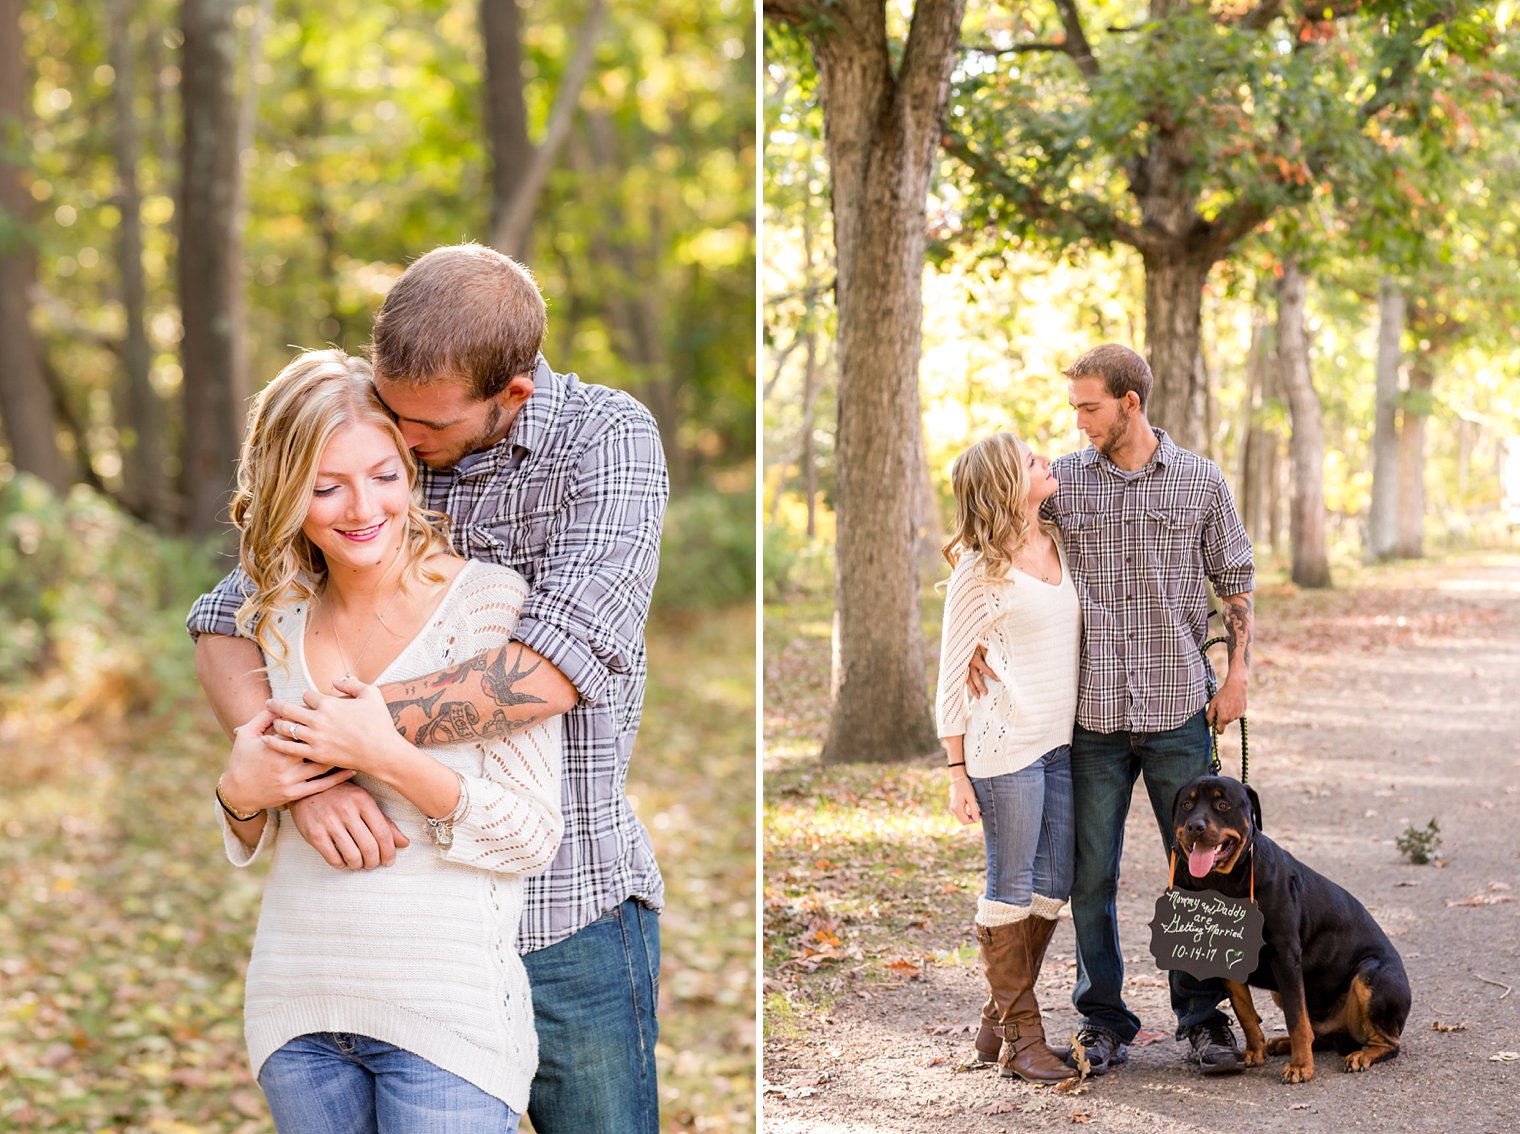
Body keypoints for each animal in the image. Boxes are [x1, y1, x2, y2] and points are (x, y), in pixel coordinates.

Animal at [1173, 772, 1410, 1082]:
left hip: (1370, 974)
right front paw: (1255, 1052)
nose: (1195, 826)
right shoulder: (1226, 957)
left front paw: (1300, 1067)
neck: (1227, 882)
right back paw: (1282, 1044)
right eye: (1187, 804)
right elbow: (1246, 1013)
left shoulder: (1285, 957)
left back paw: (1361, 1055)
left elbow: (1296, 1019)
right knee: (1318, 1032)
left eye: (1223, 805)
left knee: (1387, 1042)